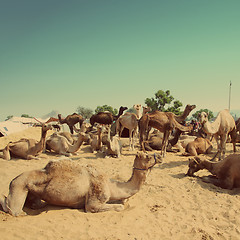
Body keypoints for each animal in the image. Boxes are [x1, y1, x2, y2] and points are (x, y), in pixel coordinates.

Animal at [0, 151, 161, 217]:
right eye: (147, 156)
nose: (159, 156)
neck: (110, 184)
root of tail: (13, 179)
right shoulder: (94, 202)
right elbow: (118, 207)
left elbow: (122, 201)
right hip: (18, 186)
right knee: (11, 209)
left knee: (37, 204)